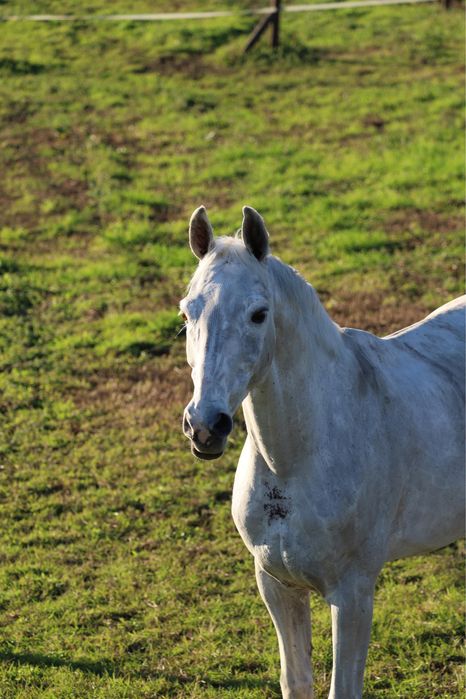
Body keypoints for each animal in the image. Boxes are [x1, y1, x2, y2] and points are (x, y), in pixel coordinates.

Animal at [180, 205, 465, 699]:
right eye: (187, 311)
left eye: (259, 314)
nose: (204, 427)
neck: (295, 464)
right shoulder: (277, 584)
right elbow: (295, 680)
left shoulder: (352, 594)